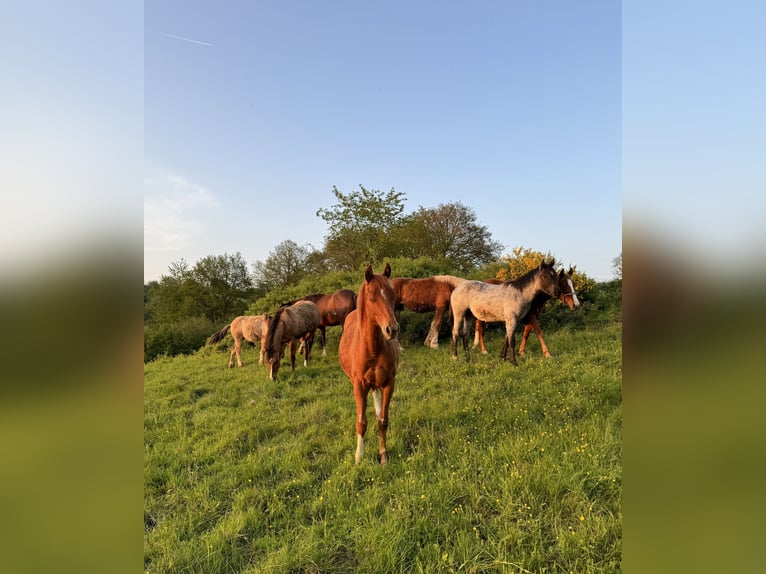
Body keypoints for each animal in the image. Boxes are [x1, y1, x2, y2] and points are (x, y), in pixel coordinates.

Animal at [340, 264, 402, 466]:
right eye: (372, 296)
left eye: (392, 294)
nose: (392, 329)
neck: (372, 349)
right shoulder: (359, 385)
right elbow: (361, 422)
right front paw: (359, 457)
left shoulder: (389, 383)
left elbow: (383, 420)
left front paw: (383, 455)